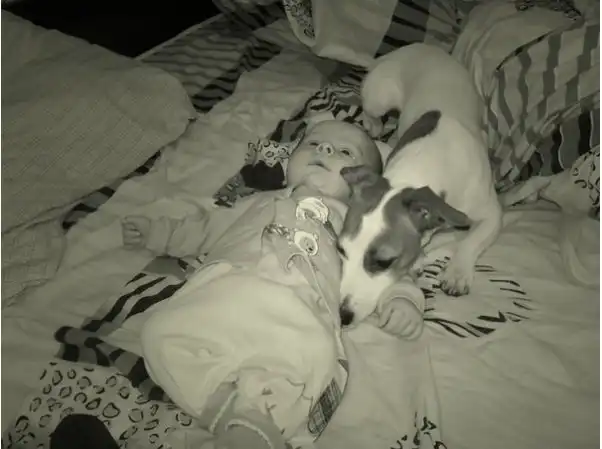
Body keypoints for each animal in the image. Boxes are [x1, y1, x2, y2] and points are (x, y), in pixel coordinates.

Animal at [337, 43, 503, 327]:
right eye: (341, 250)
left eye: (383, 262)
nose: (343, 317)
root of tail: (403, 49)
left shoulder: (492, 214)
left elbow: (471, 240)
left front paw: (457, 272)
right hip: (379, 96)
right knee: (370, 111)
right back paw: (374, 124)